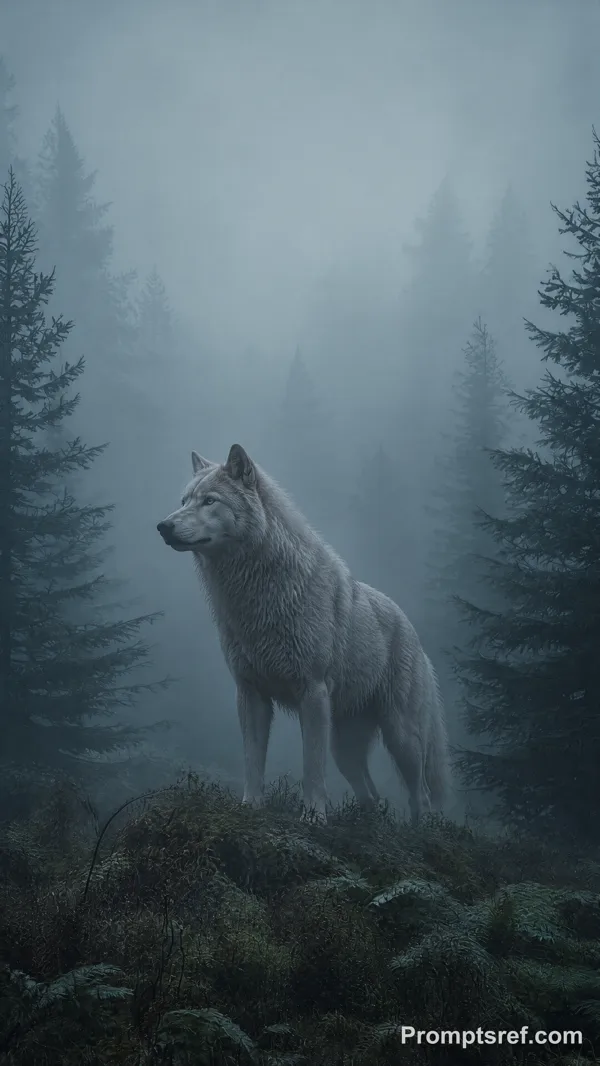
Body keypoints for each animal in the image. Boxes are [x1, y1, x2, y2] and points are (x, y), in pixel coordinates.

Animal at [157, 444, 451, 825]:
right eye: (184, 500)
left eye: (209, 501)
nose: (163, 526)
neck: (257, 597)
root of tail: (415, 636)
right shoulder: (250, 694)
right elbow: (253, 760)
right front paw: (250, 806)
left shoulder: (312, 693)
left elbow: (311, 767)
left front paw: (313, 817)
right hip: (345, 750)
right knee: (373, 795)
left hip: (402, 738)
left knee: (422, 796)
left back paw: (417, 831)